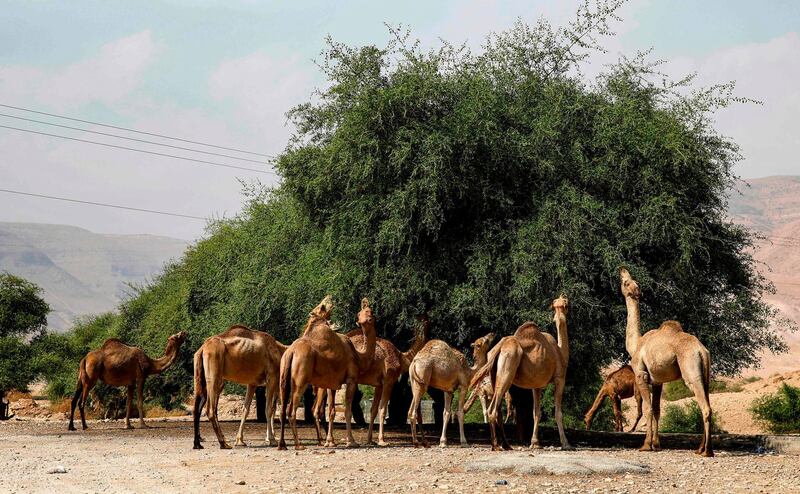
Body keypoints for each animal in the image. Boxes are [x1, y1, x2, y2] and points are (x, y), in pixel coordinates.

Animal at [278, 296, 378, 450]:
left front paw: (330, 441)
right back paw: (299, 445)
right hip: (301, 379)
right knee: (291, 409)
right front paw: (351, 441)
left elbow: (331, 411)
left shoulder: (333, 383)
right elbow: (347, 411)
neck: (358, 355)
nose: (364, 319)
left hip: (283, 375)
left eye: (368, 312)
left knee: (283, 409)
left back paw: (282, 445)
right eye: (364, 312)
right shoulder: (351, 379)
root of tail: (291, 351)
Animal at [310, 316, 432, 448]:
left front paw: (370, 440)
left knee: (330, 409)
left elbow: (373, 410)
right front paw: (382, 440)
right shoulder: (389, 380)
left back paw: (330, 441)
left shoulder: (378, 385)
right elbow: (383, 410)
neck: (402, 357)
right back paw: (335, 441)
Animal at [466, 294, 572, 452]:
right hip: (508, 368)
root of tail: (499, 347)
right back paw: (496, 445)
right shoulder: (560, 378)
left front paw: (535, 443)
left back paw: (505, 445)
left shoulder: (537, 385)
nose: (563, 298)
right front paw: (566, 444)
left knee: (498, 410)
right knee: (492, 409)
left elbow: (536, 413)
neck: (560, 352)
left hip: (494, 374)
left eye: (562, 303)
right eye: (566, 304)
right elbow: (558, 413)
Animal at [620, 268, 716, 458]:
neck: (636, 345)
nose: (621, 271)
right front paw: (657, 444)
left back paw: (707, 451)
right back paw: (700, 449)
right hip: (706, 375)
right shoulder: (658, 381)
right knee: (708, 403)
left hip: (690, 370)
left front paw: (646, 445)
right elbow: (657, 409)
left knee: (705, 407)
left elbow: (648, 408)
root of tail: (701, 351)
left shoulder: (641, 374)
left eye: (627, 282)